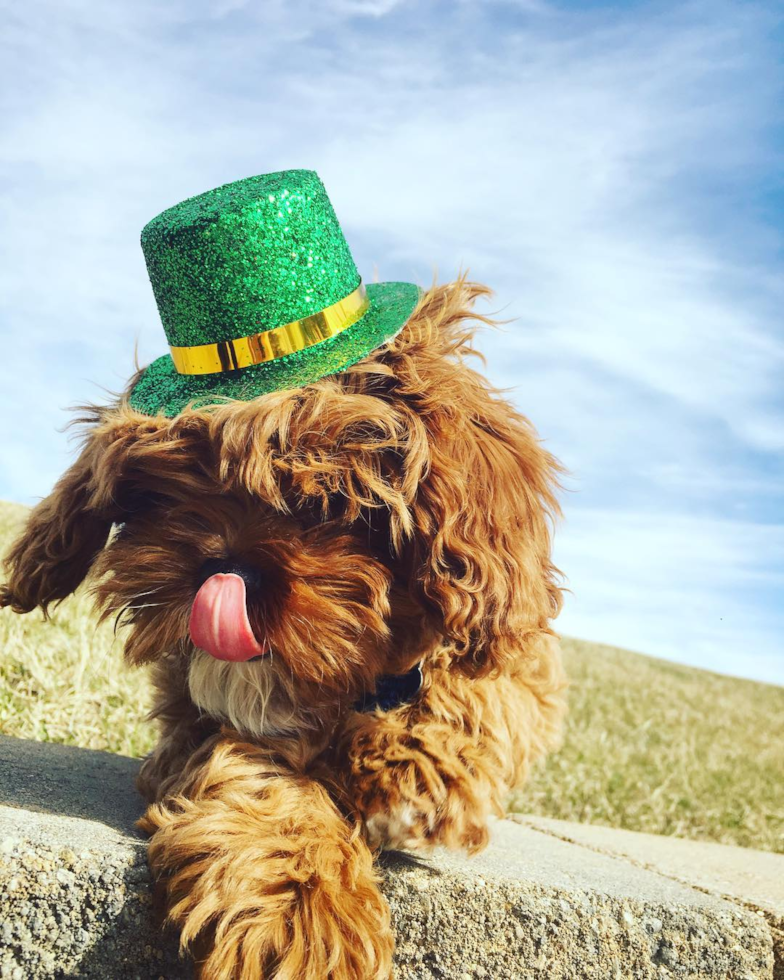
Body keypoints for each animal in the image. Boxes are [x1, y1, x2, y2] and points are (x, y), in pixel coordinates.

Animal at [0, 264, 568, 976]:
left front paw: (405, 759)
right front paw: (305, 907)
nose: (225, 571)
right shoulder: (194, 722)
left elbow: (462, 710)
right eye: (168, 492)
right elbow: (261, 775)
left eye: (327, 501)